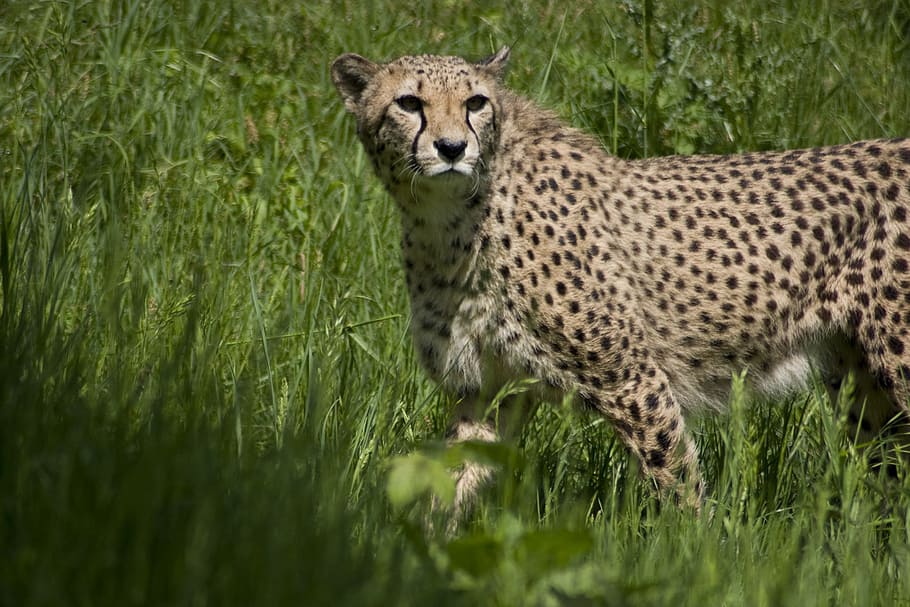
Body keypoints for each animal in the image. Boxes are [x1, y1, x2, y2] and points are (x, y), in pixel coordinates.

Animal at [331, 46, 910, 514]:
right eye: (410, 103)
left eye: (475, 102)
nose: (452, 148)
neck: (449, 221)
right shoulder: (488, 388)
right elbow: (453, 477)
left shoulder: (631, 377)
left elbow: (675, 480)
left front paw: (697, 553)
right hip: (862, 383)